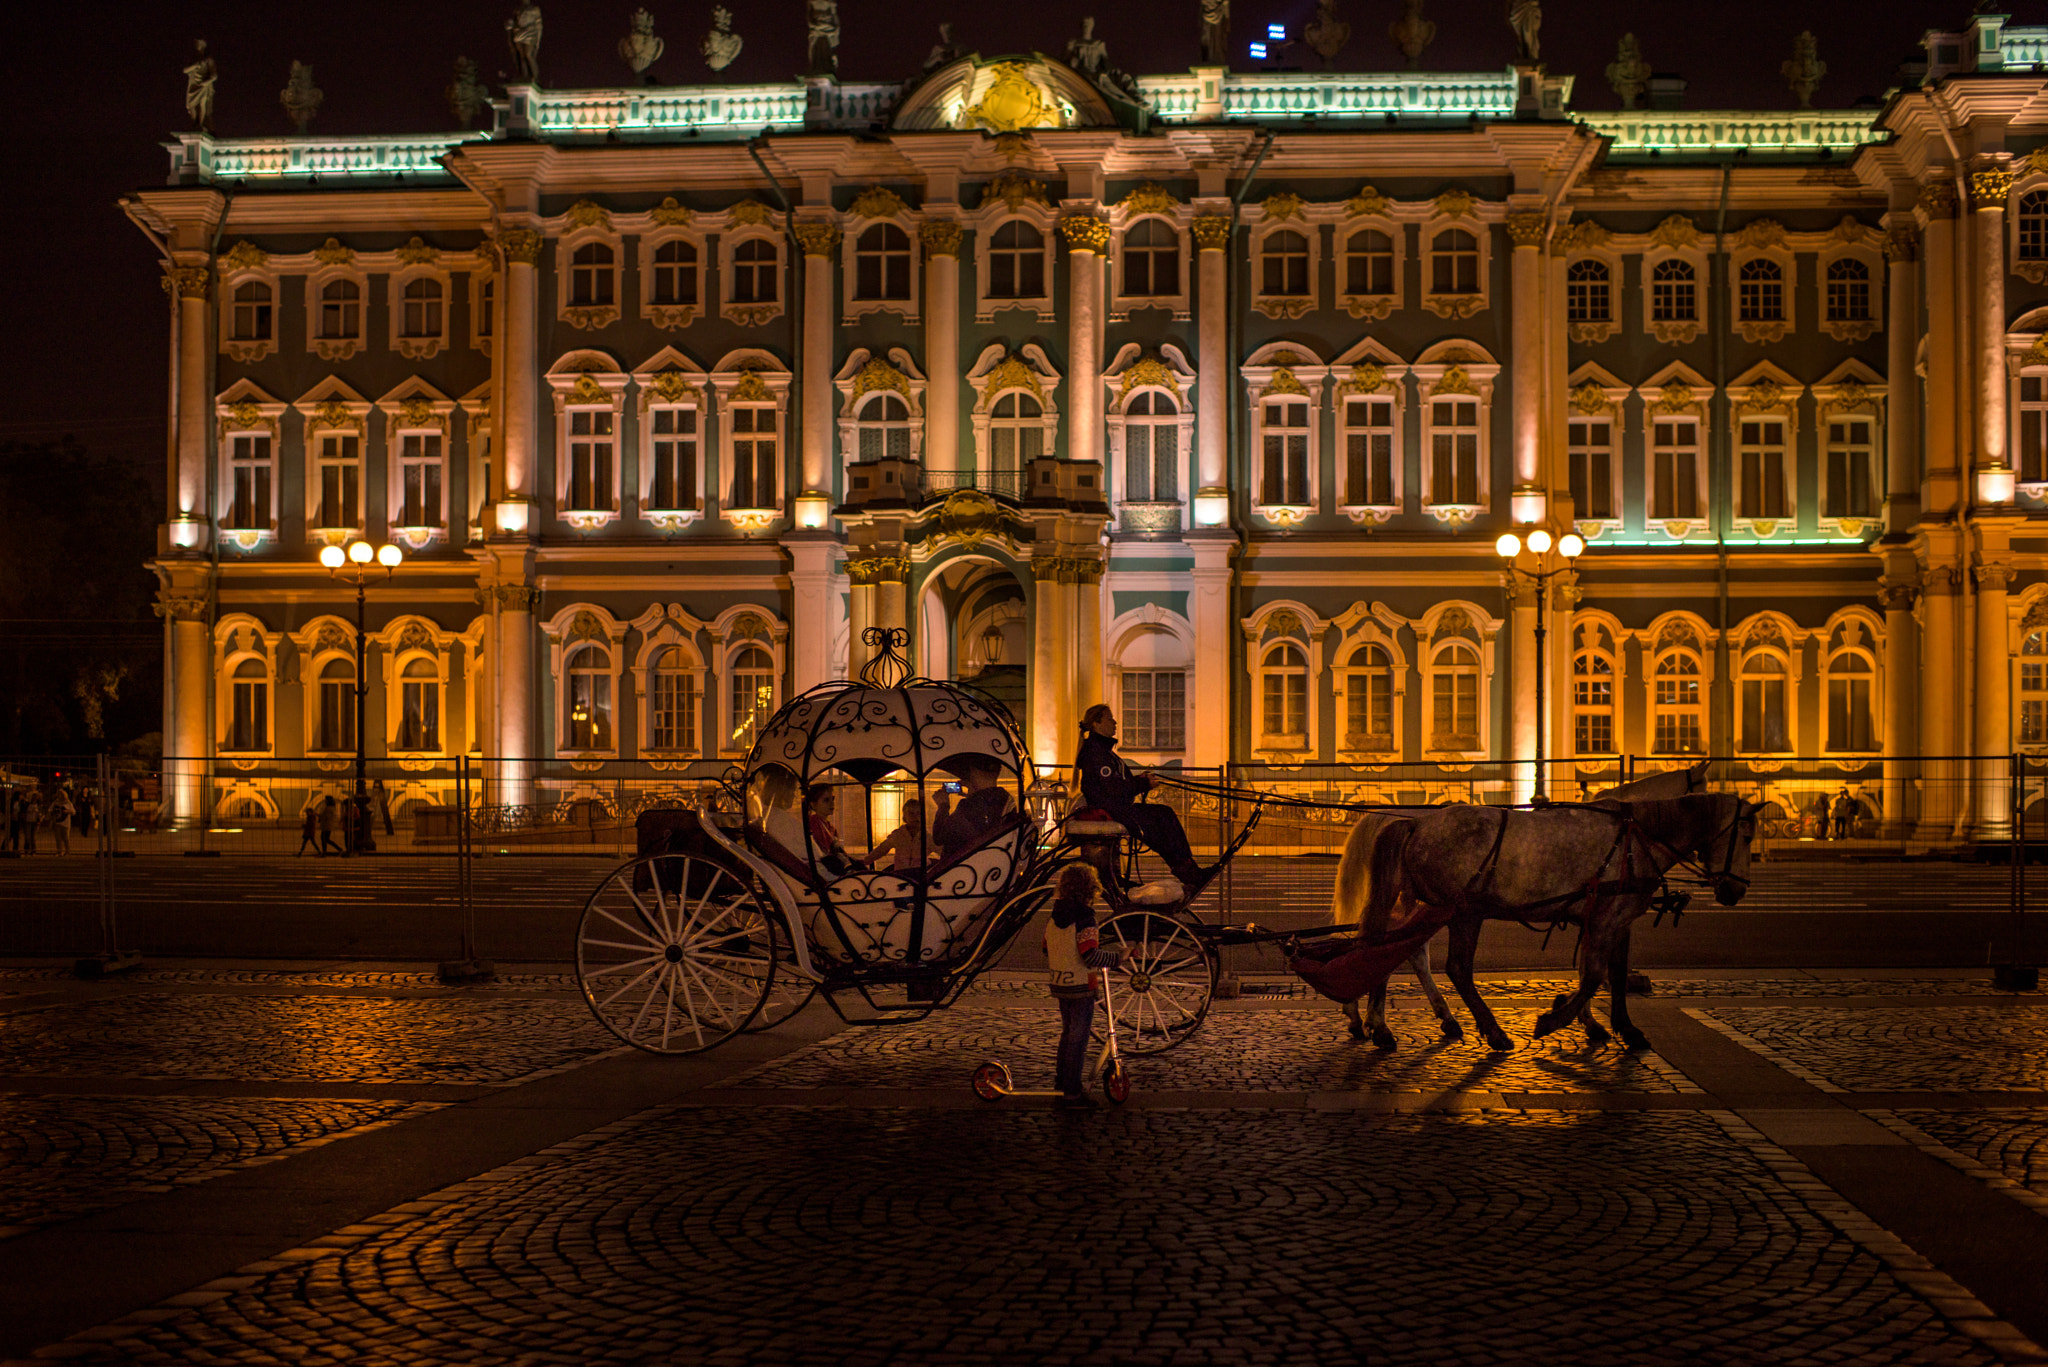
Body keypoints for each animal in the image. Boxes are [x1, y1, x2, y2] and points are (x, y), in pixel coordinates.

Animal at [1335, 778, 1753, 1057]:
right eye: (1746, 835)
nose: (1737, 889)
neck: (1635, 838)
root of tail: (1417, 823)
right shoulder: (1605, 919)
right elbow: (1593, 975)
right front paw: (1556, 1017)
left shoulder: (1617, 920)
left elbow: (1613, 975)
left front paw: (1623, 1028)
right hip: (1464, 913)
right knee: (1453, 967)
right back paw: (1490, 1031)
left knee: (1390, 952)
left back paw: (1383, 1024)